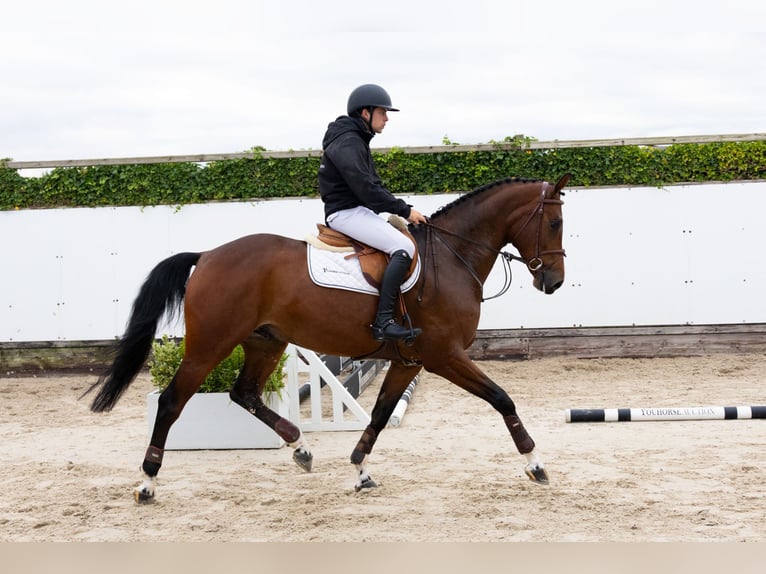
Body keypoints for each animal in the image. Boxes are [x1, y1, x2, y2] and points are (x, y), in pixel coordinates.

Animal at [84, 174, 569, 503]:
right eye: (555, 223)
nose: (555, 282)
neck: (451, 257)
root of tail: (206, 256)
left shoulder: (408, 361)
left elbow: (379, 415)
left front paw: (360, 471)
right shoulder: (443, 356)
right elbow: (502, 399)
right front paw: (536, 463)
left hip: (266, 342)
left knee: (245, 393)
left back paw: (301, 449)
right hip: (210, 346)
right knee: (171, 402)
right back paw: (147, 482)